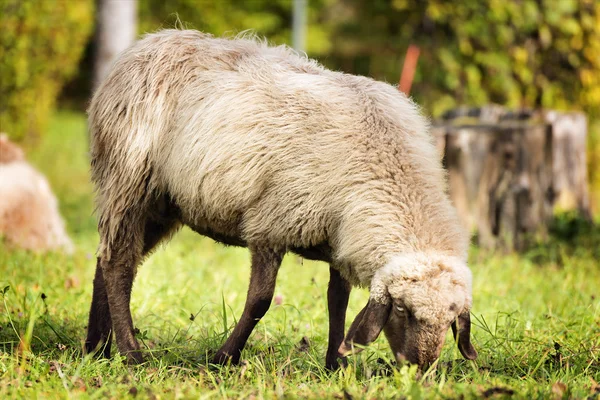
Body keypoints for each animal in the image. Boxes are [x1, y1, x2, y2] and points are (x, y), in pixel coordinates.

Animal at [85, 29, 478, 370]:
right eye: (401, 310)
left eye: (451, 319)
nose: (420, 368)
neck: (385, 163)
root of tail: (153, 40)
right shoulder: (271, 225)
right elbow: (260, 300)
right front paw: (224, 358)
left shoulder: (340, 239)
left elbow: (337, 301)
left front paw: (335, 364)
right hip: (128, 182)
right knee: (119, 265)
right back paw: (130, 354)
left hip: (163, 205)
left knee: (106, 259)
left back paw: (96, 348)